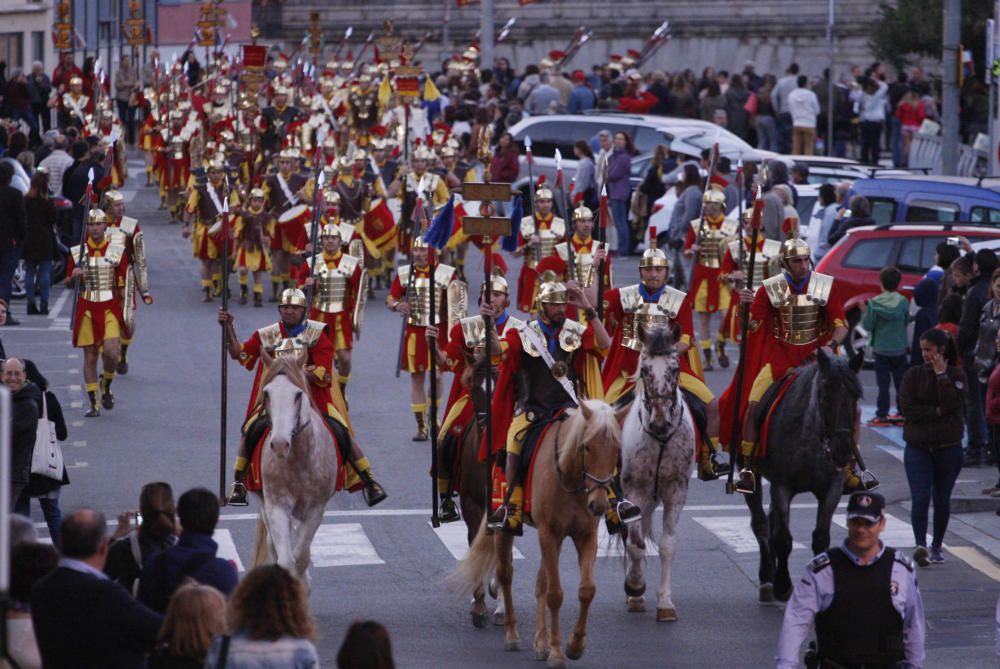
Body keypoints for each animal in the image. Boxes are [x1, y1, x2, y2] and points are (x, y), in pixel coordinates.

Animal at [454, 400, 624, 664]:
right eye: (586, 447)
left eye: (617, 449)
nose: (598, 504)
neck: (569, 478)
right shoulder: (549, 533)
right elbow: (554, 594)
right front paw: (556, 651)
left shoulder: (585, 536)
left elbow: (585, 590)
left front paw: (574, 645)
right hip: (503, 526)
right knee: (506, 575)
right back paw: (512, 634)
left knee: (539, 581)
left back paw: (540, 642)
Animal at [616, 326, 696, 624]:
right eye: (645, 370)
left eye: (675, 368)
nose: (660, 423)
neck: (661, 438)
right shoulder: (633, 491)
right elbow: (635, 543)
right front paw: (635, 587)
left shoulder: (676, 490)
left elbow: (667, 546)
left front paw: (665, 603)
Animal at [748, 348, 864, 604]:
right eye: (826, 396)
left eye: (856, 397)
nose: (843, 451)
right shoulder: (781, 486)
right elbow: (783, 539)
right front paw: (783, 585)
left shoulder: (832, 488)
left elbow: (821, 537)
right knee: (760, 523)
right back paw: (767, 577)